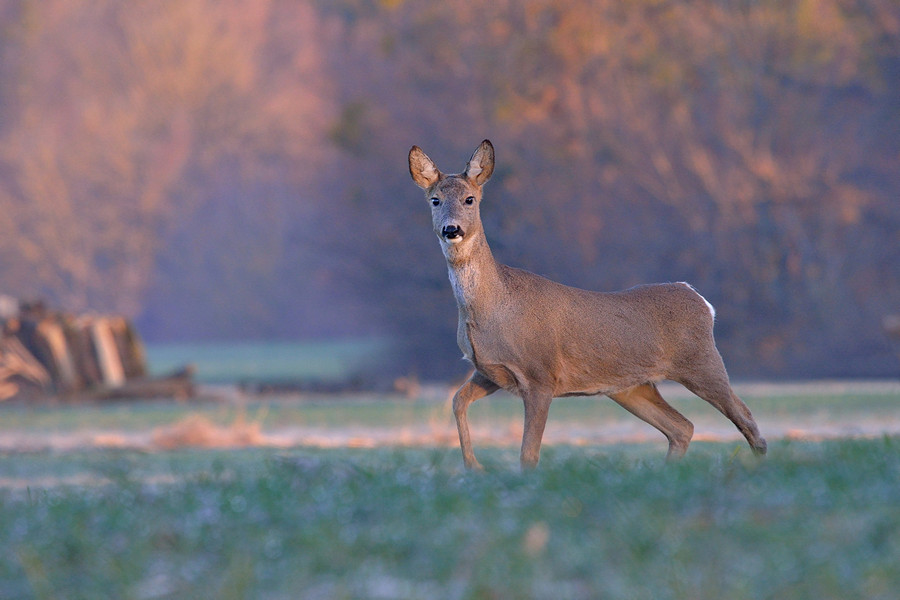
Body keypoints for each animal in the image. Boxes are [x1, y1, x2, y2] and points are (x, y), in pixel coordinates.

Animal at [408, 139, 768, 468]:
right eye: (435, 200)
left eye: (469, 199)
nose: (451, 229)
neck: (493, 307)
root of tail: (699, 298)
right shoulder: (488, 371)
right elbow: (457, 401)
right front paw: (474, 466)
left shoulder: (540, 374)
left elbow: (528, 453)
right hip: (630, 387)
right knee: (682, 427)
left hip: (701, 361)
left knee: (746, 418)